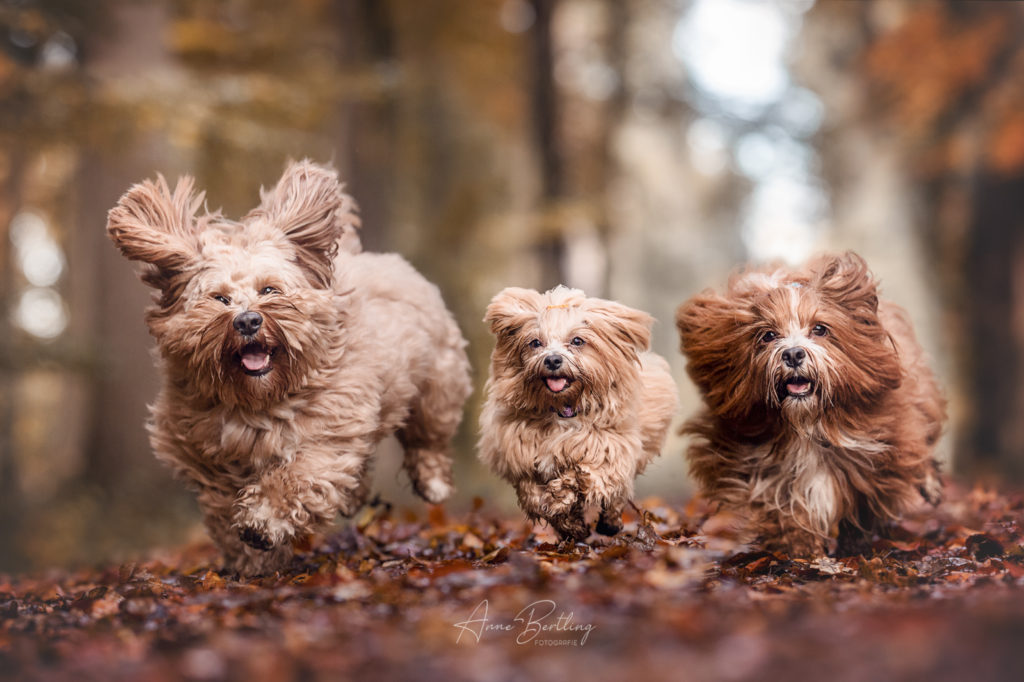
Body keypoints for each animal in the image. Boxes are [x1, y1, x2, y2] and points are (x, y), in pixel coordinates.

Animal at [103, 159, 471, 573]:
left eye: (270, 290)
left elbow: (296, 477)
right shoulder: (205, 454)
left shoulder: (328, 433)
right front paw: (251, 558)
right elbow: (222, 503)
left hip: (438, 382)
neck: (259, 400)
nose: (248, 321)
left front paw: (263, 521)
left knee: (428, 437)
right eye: (219, 299)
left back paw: (432, 480)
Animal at [479, 284, 679, 540]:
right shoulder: (520, 455)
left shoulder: (608, 450)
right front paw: (568, 524)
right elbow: (530, 493)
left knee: (618, 494)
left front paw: (561, 496)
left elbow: (586, 476)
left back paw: (610, 522)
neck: (562, 409)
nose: (553, 360)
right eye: (535, 343)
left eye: (577, 341)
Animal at [675, 251, 946, 557]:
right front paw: (801, 547)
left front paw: (854, 541)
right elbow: (788, 508)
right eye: (768, 335)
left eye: (819, 329)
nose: (793, 354)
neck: (807, 425)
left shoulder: (882, 447)